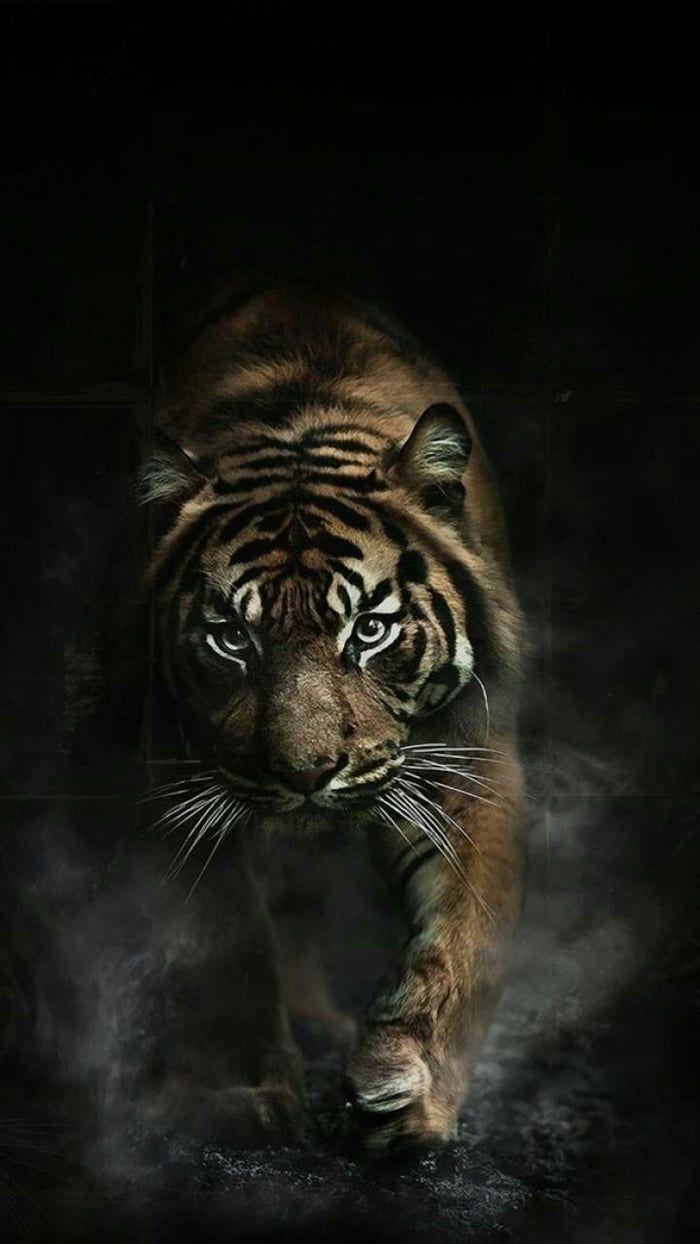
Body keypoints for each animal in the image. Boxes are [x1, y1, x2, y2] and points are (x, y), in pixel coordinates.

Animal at [138, 281, 526, 1153]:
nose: (307, 772)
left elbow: (463, 935)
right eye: (231, 637)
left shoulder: (467, 759)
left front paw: (410, 1090)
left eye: (370, 630)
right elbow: (230, 944)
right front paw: (251, 1092)